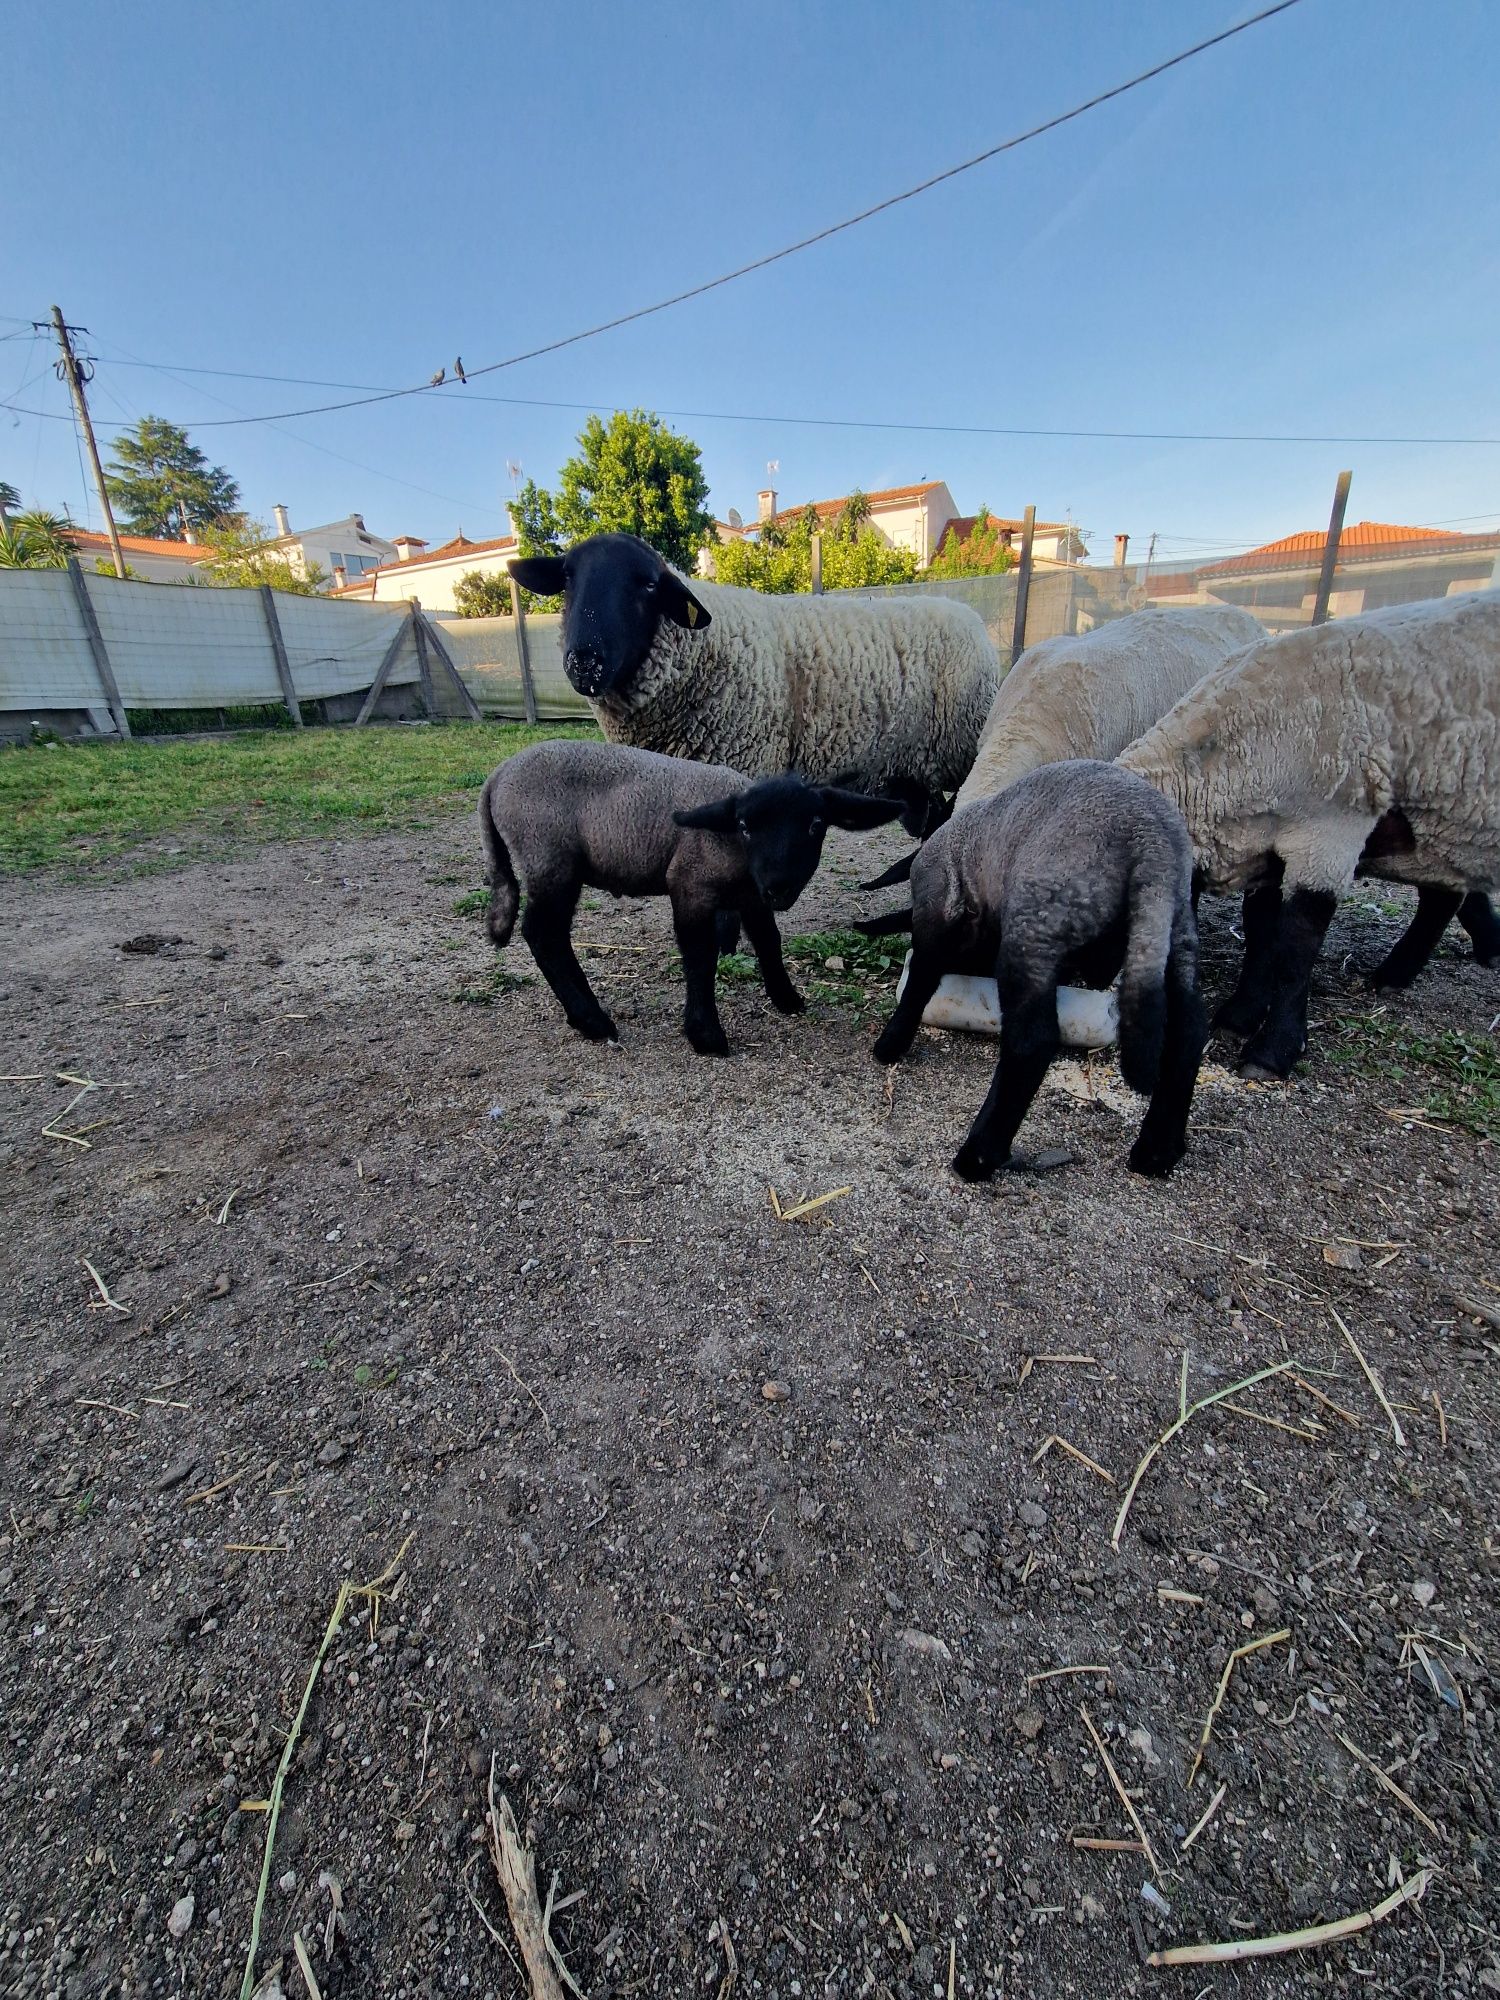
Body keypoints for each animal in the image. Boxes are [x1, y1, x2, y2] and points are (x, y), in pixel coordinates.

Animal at [482, 740, 904, 1056]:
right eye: (745, 825)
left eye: (816, 824)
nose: (780, 887)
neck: (735, 847)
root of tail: (498, 775)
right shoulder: (690, 885)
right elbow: (700, 955)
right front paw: (706, 1035)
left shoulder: (750, 896)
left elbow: (768, 941)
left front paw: (786, 998)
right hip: (549, 858)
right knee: (544, 935)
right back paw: (593, 1021)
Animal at [868, 756, 1208, 1176]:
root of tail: (1151, 842)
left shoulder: (937, 914)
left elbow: (920, 982)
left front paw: (889, 1045)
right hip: (1174, 936)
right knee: (1188, 1034)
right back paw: (1157, 1151)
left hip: (1038, 926)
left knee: (1033, 1041)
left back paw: (978, 1156)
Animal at [1120, 588, 1500, 1080]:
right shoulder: (1267, 843)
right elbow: (1261, 932)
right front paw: (1240, 1014)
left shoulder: (1329, 831)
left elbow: (1295, 946)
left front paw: (1271, 1050)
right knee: (1442, 896)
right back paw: (1398, 974)